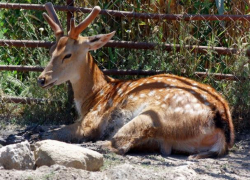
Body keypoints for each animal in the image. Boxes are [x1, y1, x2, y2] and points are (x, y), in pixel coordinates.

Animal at [37, 2, 234, 158]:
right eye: (51, 50)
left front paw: (37, 134)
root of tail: (223, 131)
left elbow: (58, 132)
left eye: (67, 54)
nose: (41, 79)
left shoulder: (92, 121)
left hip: (153, 116)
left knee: (118, 145)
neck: (95, 96)